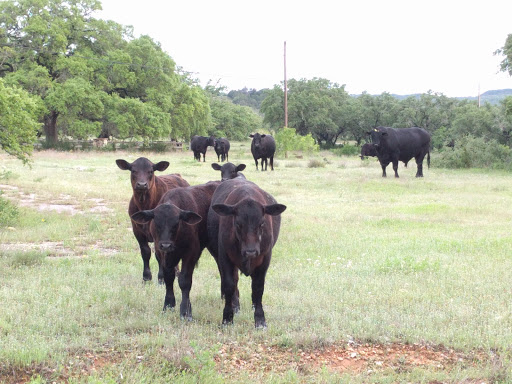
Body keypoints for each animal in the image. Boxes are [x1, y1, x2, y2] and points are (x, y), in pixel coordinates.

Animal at [131, 182, 219, 320]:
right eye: (156, 222)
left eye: (176, 223)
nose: (166, 245)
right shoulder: (162, 254)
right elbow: (168, 278)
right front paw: (168, 305)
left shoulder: (191, 254)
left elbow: (184, 281)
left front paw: (185, 311)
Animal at [208, 178, 288, 328]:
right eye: (238, 224)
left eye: (261, 223)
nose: (251, 251)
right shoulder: (224, 257)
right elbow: (229, 285)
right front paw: (227, 318)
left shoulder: (265, 258)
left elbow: (258, 287)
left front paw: (260, 319)